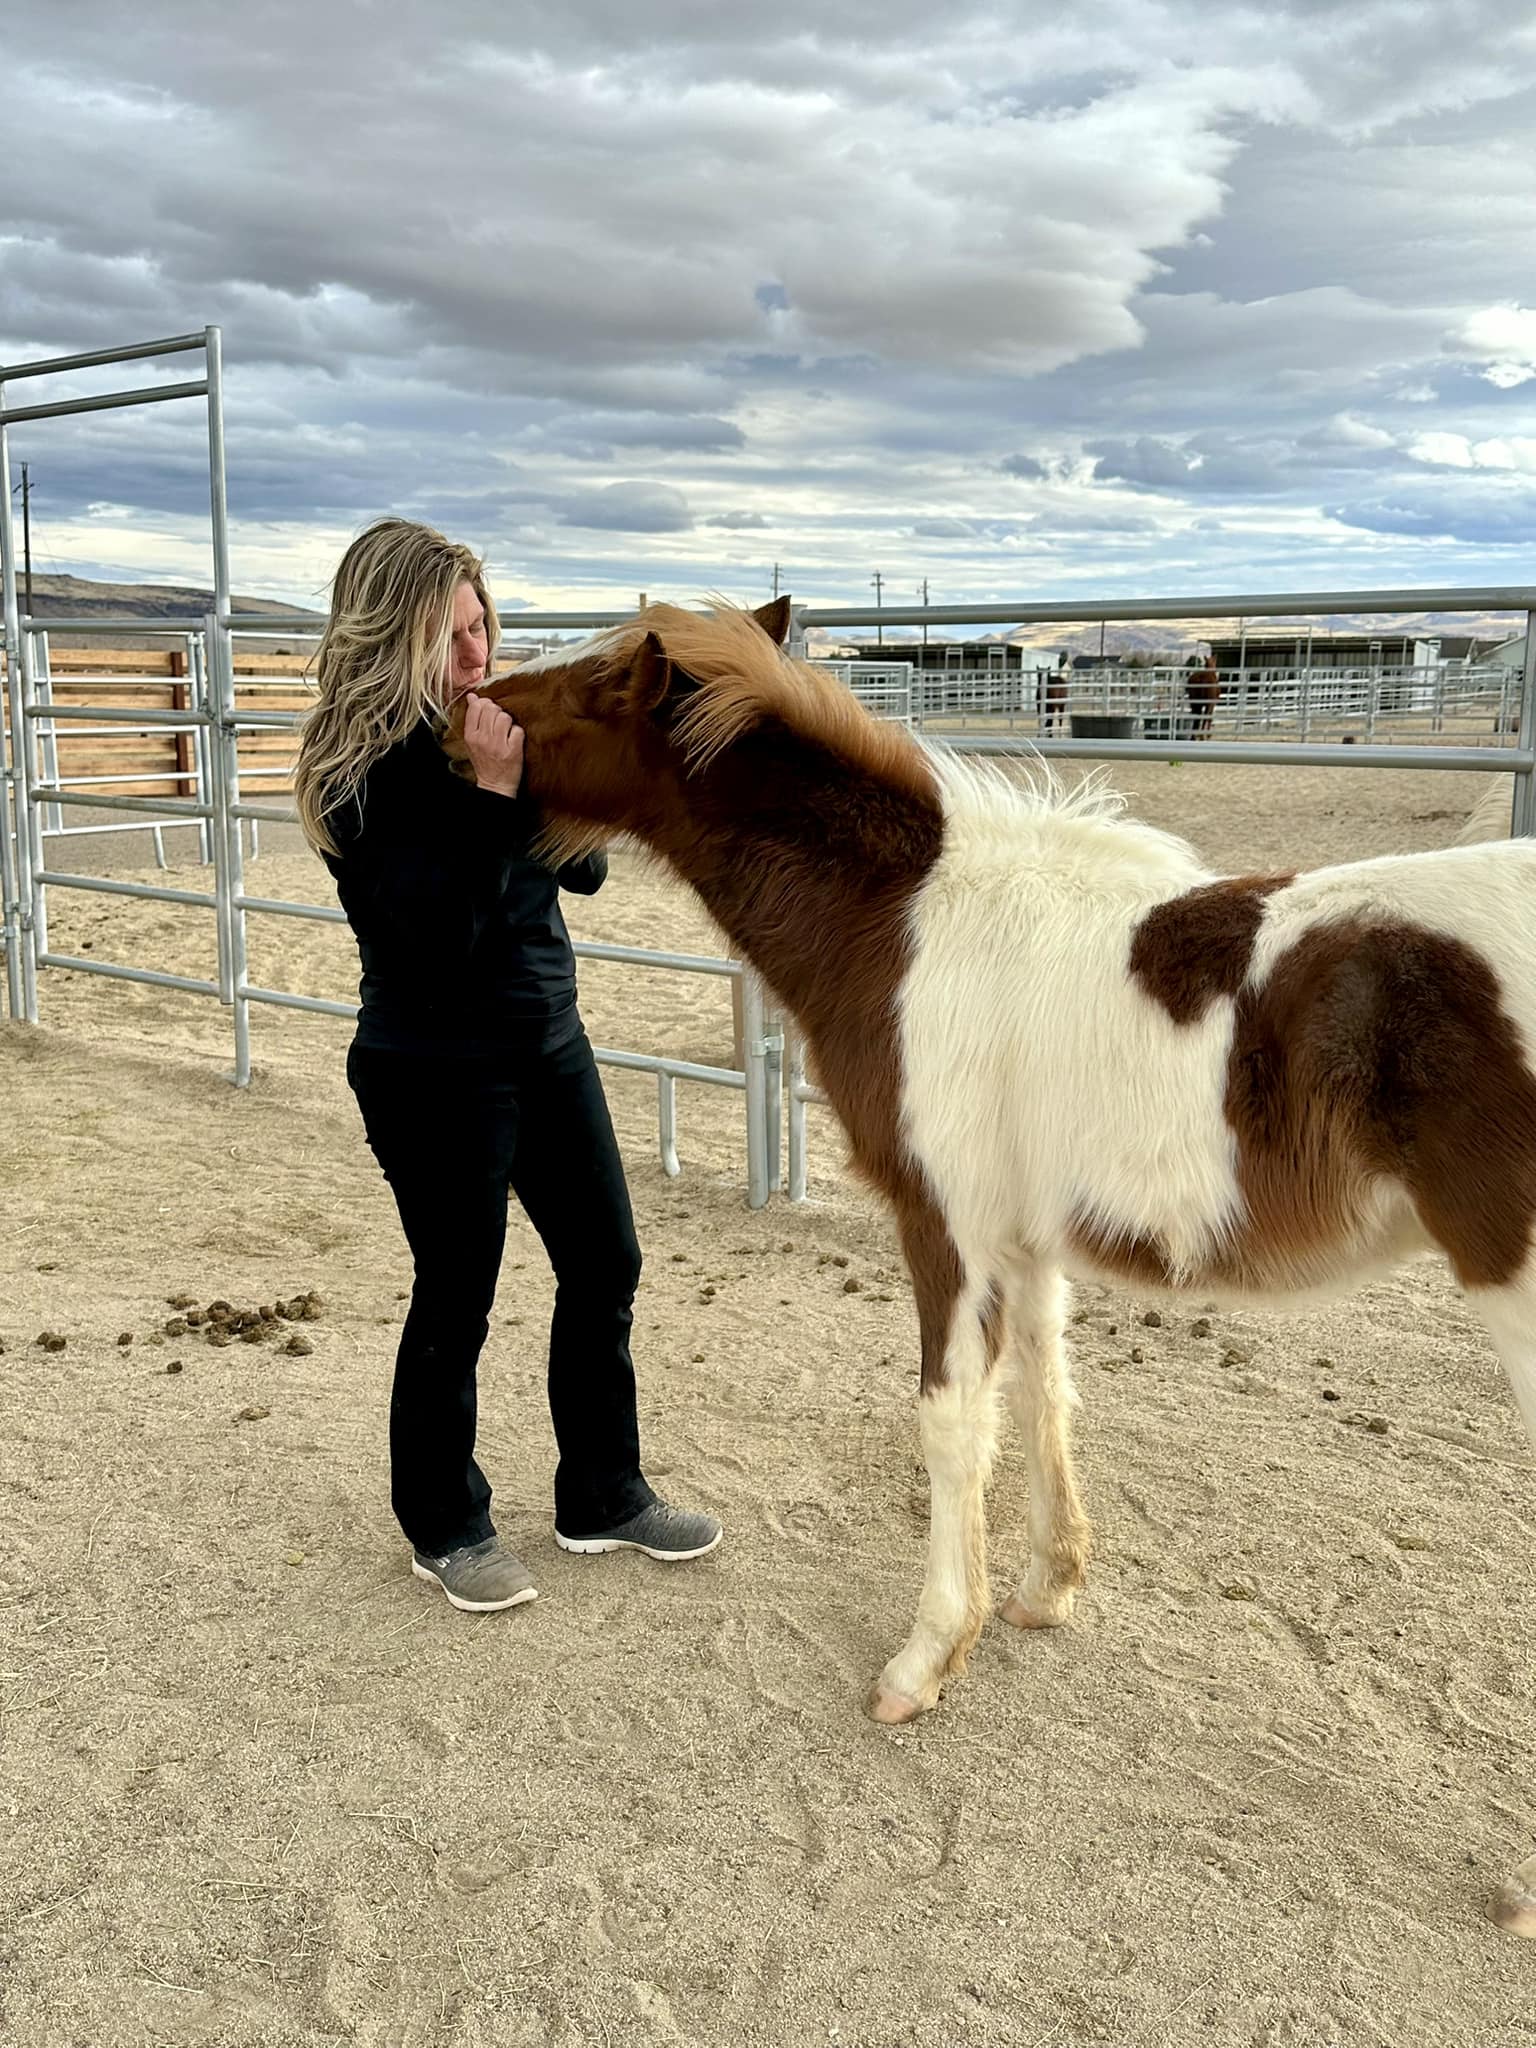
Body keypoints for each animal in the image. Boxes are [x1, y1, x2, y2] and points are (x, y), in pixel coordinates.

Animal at [446, 598, 1536, 1937]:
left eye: (602, 683)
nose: (467, 715)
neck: (912, 921)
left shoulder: (947, 1225)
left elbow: (951, 1424)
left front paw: (925, 1659)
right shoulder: (1030, 1239)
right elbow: (1045, 1395)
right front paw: (1045, 1590)